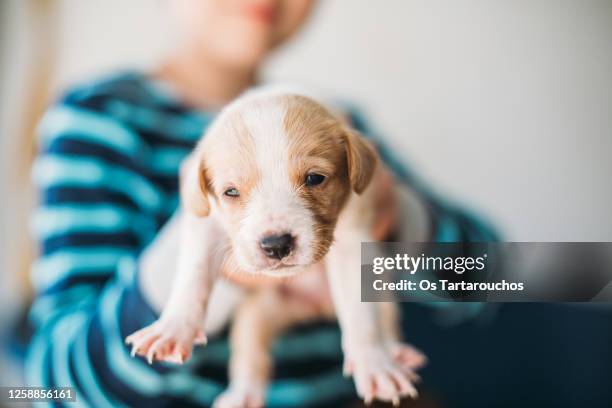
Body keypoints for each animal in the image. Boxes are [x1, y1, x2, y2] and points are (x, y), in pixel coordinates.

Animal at [126, 90, 428, 408]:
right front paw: (172, 328)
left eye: (314, 178)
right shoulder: (203, 224)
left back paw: (396, 353)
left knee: (386, 320)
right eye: (230, 191)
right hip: (256, 314)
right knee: (251, 356)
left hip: (382, 294)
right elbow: (192, 275)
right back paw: (242, 395)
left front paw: (374, 364)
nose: (276, 245)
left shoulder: (355, 236)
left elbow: (361, 315)